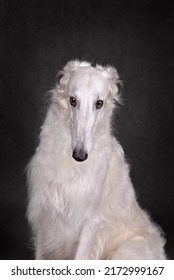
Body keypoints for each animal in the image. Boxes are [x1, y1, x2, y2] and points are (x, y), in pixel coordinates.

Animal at [27, 60, 166, 260]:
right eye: (73, 100)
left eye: (99, 103)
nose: (80, 155)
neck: (71, 165)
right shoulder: (44, 212)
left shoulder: (91, 221)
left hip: (124, 253)